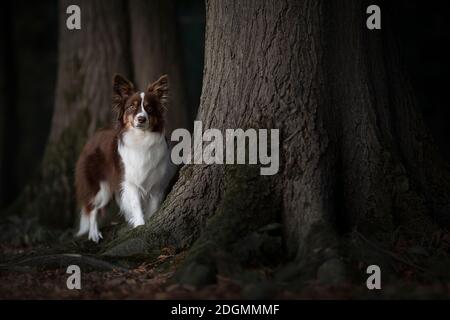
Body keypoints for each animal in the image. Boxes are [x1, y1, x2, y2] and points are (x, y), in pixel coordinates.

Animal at [74, 74, 173, 241]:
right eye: (132, 107)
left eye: (149, 108)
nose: (141, 119)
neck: (141, 138)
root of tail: (93, 136)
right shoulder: (130, 182)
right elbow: (136, 205)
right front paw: (140, 225)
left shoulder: (156, 185)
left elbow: (152, 208)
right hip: (102, 189)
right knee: (92, 208)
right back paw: (94, 234)